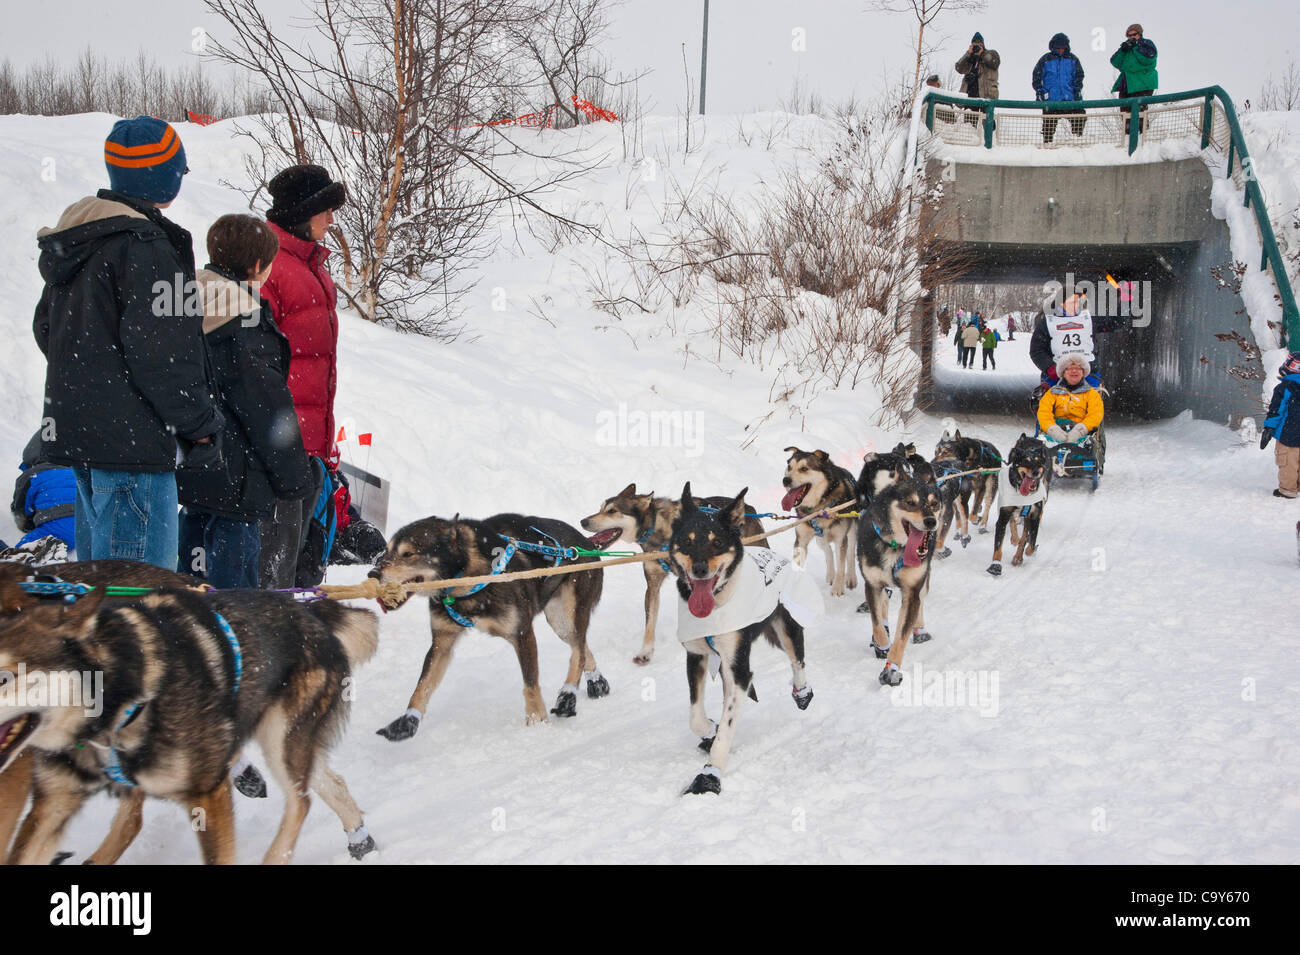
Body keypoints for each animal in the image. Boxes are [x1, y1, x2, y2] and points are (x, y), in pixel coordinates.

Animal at [0, 561, 379, 867]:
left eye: (6, 676)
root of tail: (311, 615)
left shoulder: (207, 795)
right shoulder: (52, 805)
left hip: (280, 737)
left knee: (300, 802)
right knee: (326, 783)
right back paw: (360, 839)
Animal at [371, 511, 603, 743]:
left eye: (408, 553)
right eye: (386, 551)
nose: (372, 574)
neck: (467, 577)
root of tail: (587, 544)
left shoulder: (522, 634)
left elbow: (530, 684)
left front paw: (537, 721)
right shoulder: (442, 641)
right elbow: (422, 686)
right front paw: (408, 720)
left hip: (565, 615)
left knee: (578, 651)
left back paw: (568, 695)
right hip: (560, 622)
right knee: (582, 646)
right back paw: (597, 681)